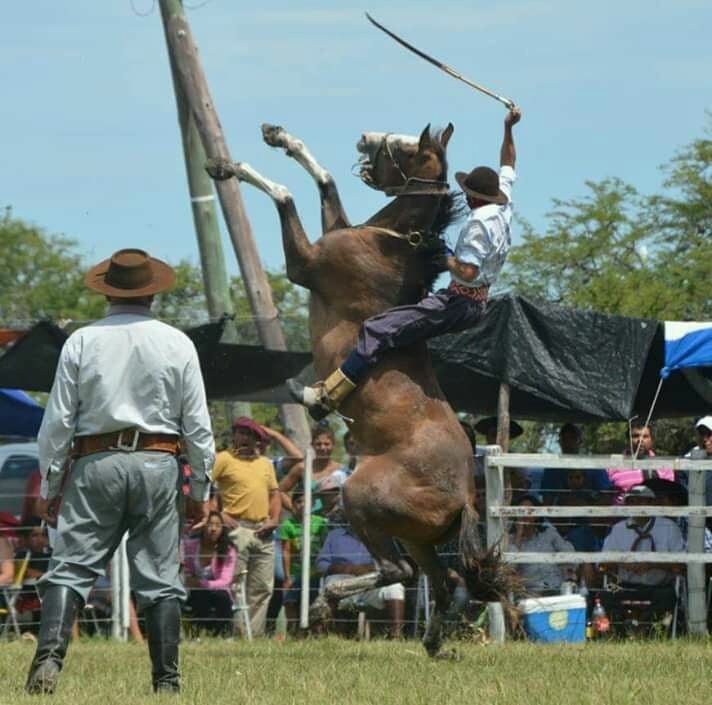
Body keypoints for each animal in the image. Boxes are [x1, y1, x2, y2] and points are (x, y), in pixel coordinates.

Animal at [206, 122, 512, 656]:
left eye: (409, 146)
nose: (365, 138)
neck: (389, 241)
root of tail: (465, 498)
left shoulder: (306, 263)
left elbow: (285, 194)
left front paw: (228, 165)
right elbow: (325, 182)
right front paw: (279, 137)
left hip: (360, 497)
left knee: (398, 571)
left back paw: (325, 602)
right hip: (416, 535)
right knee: (442, 579)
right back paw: (432, 640)